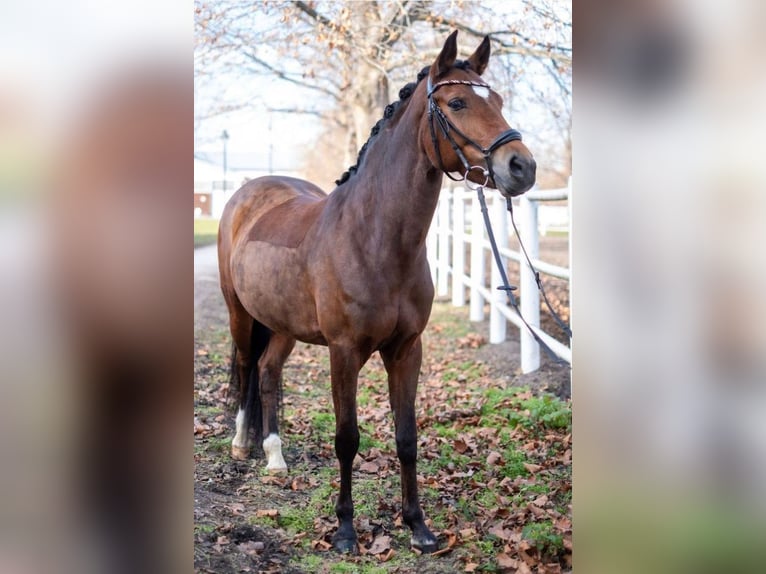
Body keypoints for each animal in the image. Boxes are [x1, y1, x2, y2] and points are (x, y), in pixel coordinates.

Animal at [219, 31, 536, 552]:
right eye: (457, 102)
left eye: (500, 102)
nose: (522, 167)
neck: (375, 239)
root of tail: (250, 192)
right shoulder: (344, 352)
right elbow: (347, 438)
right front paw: (346, 531)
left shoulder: (407, 349)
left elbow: (406, 436)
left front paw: (418, 526)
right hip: (241, 315)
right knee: (246, 367)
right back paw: (243, 443)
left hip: (283, 326)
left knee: (267, 372)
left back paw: (275, 456)